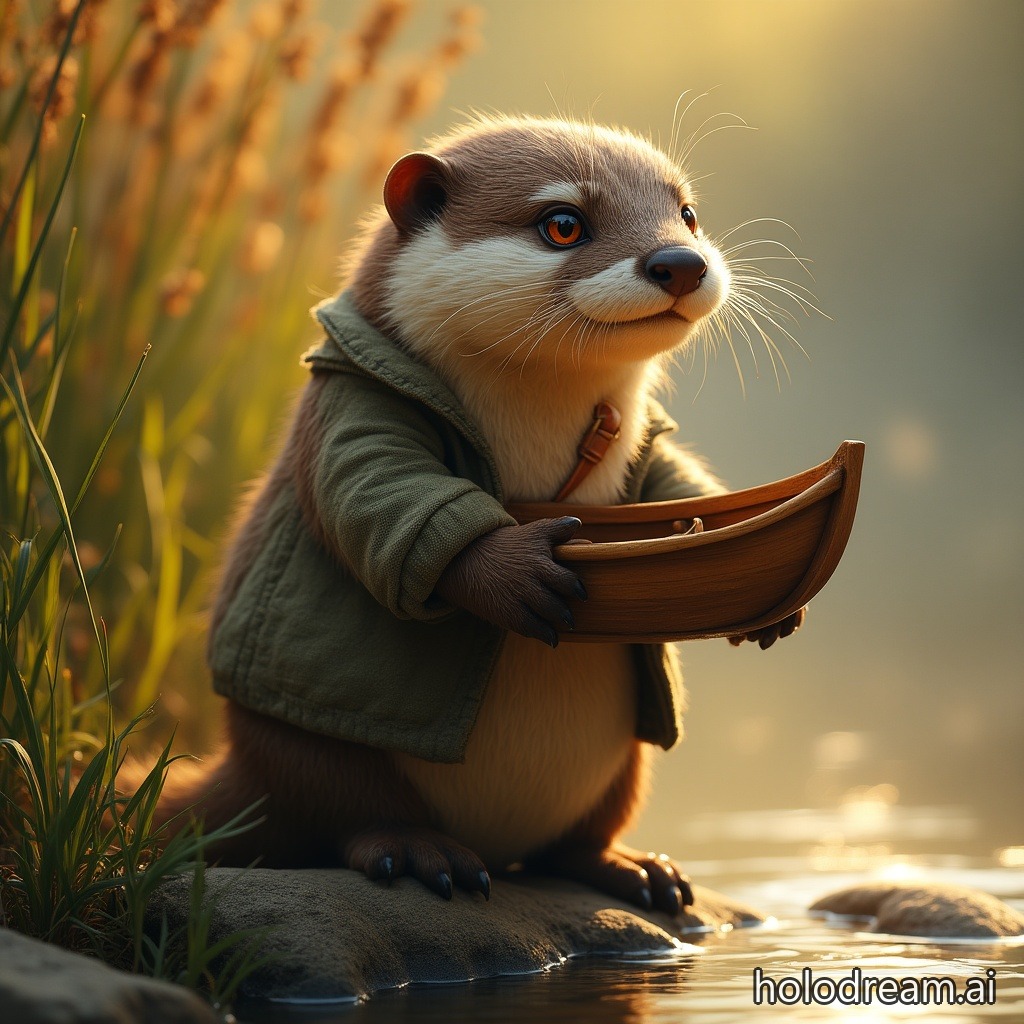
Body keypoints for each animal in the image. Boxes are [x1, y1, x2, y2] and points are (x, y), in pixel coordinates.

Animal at [142, 115, 804, 916]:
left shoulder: (646, 448)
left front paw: (769, 609)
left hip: (625, 770)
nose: (680, 261)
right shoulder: (351, 406)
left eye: (687, 213)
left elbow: (679, 489)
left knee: (575, 840)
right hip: (309, 746)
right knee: (347, 814)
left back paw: (636, 869)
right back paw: (423, 854)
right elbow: (378, 488)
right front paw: (515, 572)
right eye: (563, 223)